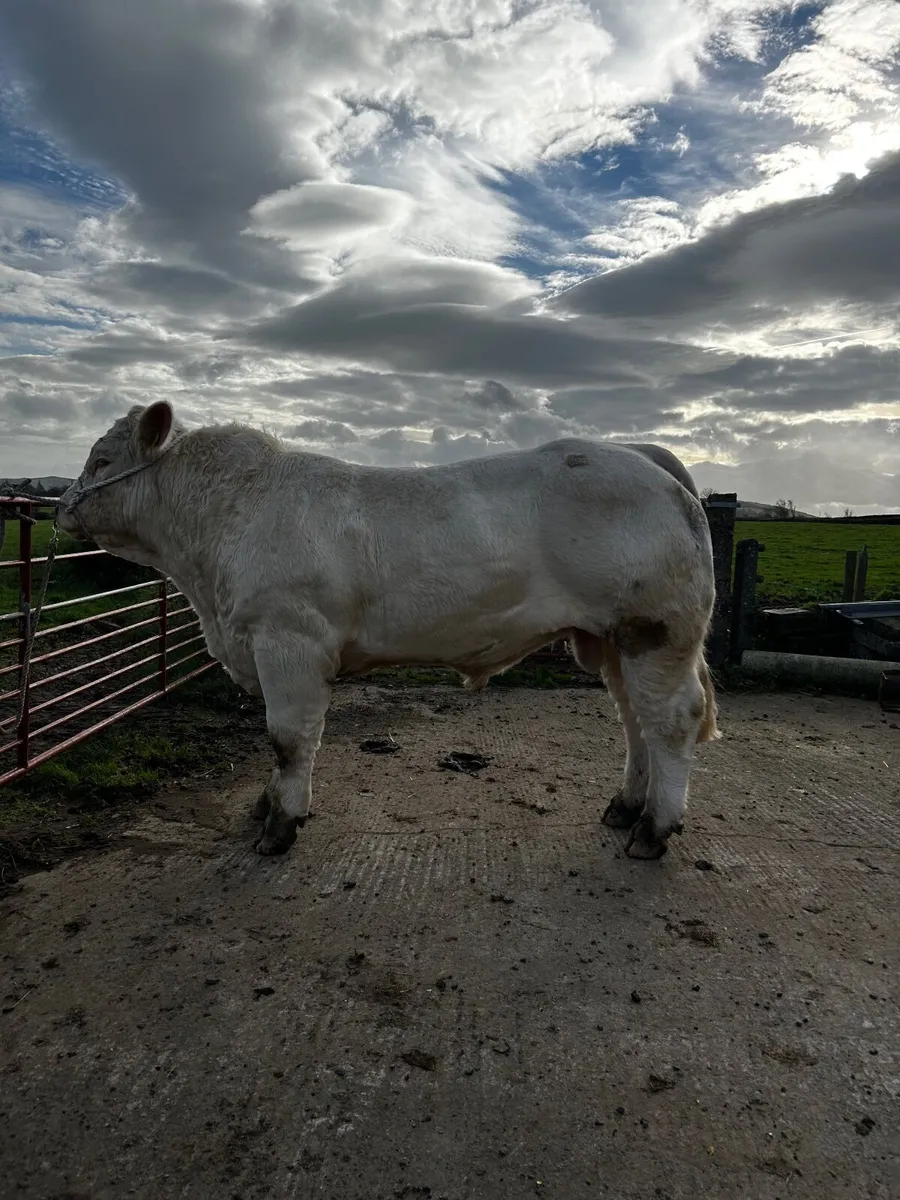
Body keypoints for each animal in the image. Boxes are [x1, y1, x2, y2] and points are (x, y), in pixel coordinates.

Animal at [59, 401, 719, 861]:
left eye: (102, 461)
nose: (62, 505)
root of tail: (637, 454)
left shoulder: (289, 642)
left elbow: (287, 738)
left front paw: (280, 823)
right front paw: (265, 805)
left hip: (655, 631)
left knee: (671, 719)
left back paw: (655, 828)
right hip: (612, 638)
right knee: (635, 720)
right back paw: (627, 806)